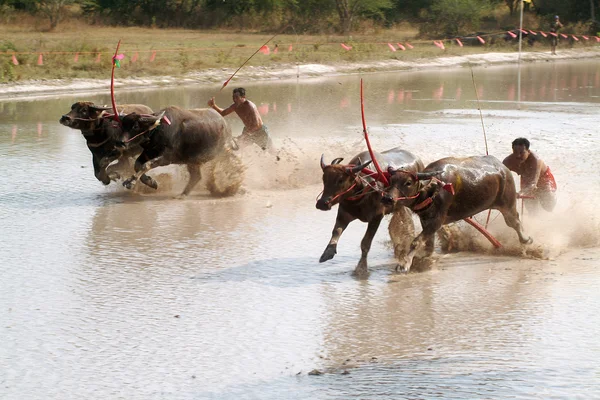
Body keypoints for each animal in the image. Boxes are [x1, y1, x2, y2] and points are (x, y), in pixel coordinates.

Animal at [316, 147, 424, 276]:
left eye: (340, 180)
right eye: (324, 179)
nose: (322, 203)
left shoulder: (376, 217)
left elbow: (365, 243)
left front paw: (361, 268)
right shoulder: (344, 214)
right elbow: (336, 231)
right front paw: (327, 253)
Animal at [382, 155, 532, 274]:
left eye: (408, 182)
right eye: (391, 181)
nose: (387, 198)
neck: (432, 191)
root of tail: (503, 168)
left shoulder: (437, 220)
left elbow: (416, 241)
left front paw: (404, 264)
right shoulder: (426, 219)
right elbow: (428, 245)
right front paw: (421, 258)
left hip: (508, 204)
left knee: (514, 222)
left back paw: (526, 240)